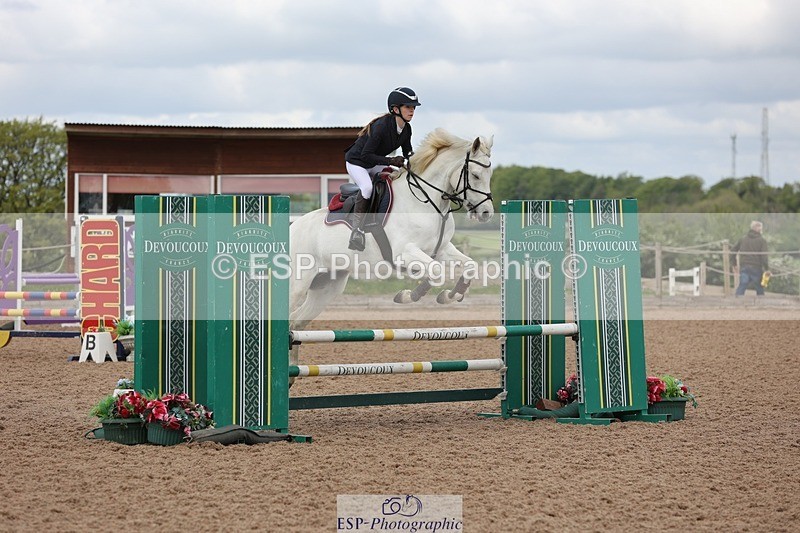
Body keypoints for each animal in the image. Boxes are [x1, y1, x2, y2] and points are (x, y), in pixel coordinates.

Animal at [288, 128, 495, 336]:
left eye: (490, 174)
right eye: (476, 175)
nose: (486, 213)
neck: (426, 202)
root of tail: (292, 228)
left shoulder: (441, 250)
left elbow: (469, 265)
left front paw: (450, 296)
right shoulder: (404, 253)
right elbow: (436, 271)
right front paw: (407, 296)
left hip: (327, 287)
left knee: (296, 320)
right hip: (298, 284)